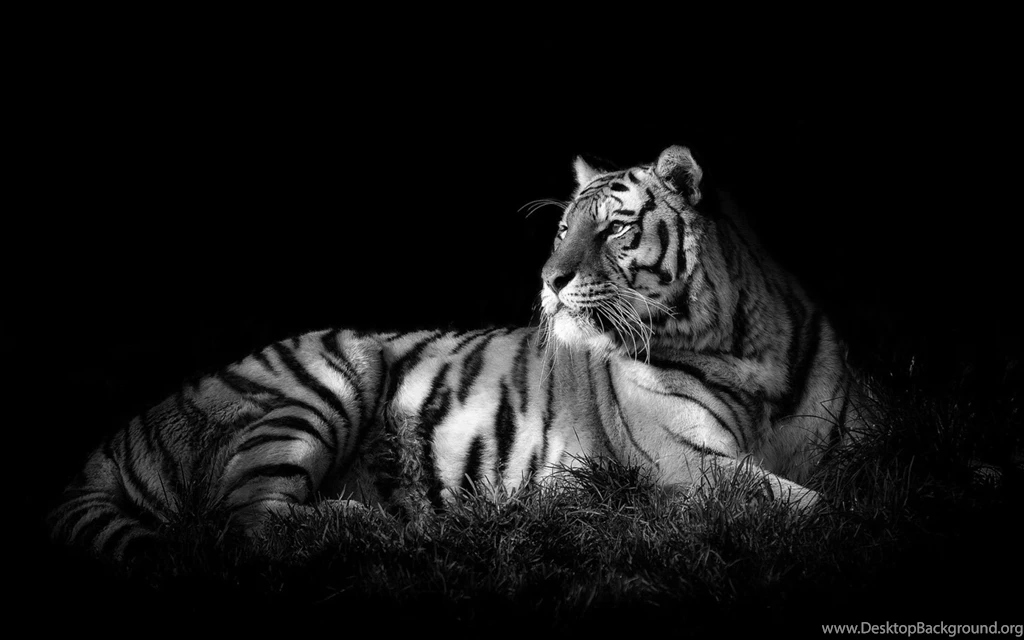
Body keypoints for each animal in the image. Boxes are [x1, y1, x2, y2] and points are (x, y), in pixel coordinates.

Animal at [50, 145, 865, 562]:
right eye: (561, 228)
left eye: (613, 228)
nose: (548, 281)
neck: (741, 347)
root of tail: (125, 432)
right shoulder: (688, 463)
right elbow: (804, 507)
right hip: (318, 384)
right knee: (242, 524)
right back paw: (390, 530)